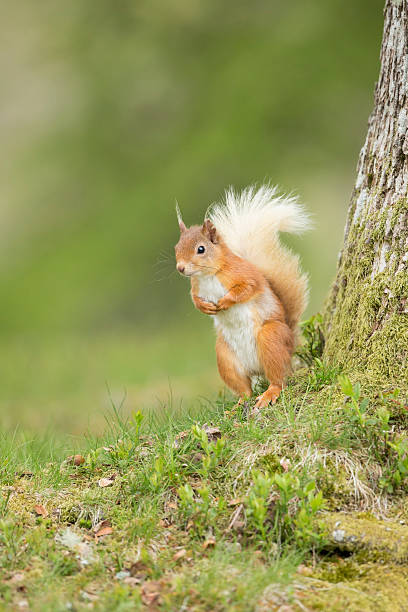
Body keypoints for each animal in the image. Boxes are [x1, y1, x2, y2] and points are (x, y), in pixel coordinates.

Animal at [174, 184, 310, 408]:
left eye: (201, 249)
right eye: (176, 248)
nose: (180, 268)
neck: (208, 275)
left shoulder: (246, 275)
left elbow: (246, 289)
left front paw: (224, 301)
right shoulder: (196, 287)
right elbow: (195, 300)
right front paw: (206, 307)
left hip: (271, 339)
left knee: (278, 379)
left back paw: (269, 394)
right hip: (225, 356)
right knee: (244, 389)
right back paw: (238, 405)